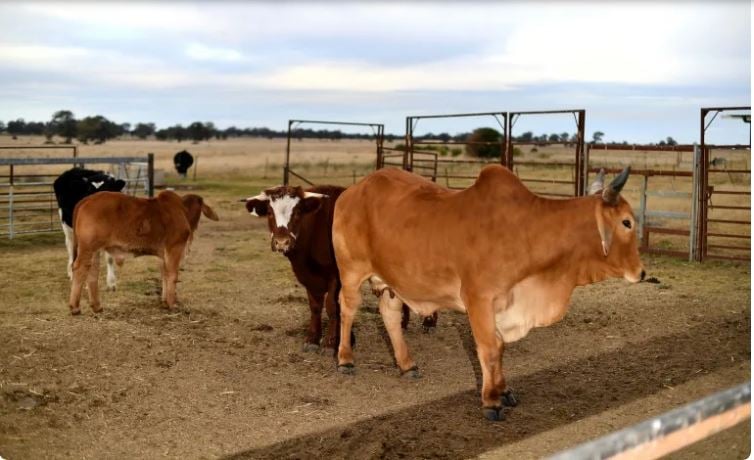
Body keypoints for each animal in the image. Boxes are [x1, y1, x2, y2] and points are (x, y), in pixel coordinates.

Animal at [68, 189, 217, 314]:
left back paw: (97, 306)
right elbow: (173, 275)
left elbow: (164, 274)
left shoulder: (163, 254)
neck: (182, 210)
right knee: (79, 268)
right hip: (88, 247)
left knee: (92, 271)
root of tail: (87, 199)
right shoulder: (174, 248)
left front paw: (165, 301)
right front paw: (172, 304)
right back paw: (75, 307)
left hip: (94, 250)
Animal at [244, 185, 346, 350]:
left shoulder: (336, 274)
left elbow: (332, 306)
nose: (281, 242)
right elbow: (315, 306)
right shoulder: (307, 276)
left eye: (298, 212)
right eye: (270, 212)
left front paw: (330, 342)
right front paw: (312, 339)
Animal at [332, 164, 644, 420]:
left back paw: (407, 365)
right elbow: (489, 349)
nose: (641, 273)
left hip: (390, 282)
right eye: (627, 222)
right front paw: (491, 401)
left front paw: (504, 391)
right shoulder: (478, 300)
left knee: (390, 315)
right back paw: (345, 360)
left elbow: (501, 347)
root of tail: (352, 191)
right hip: (351, 271)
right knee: (347, 307)